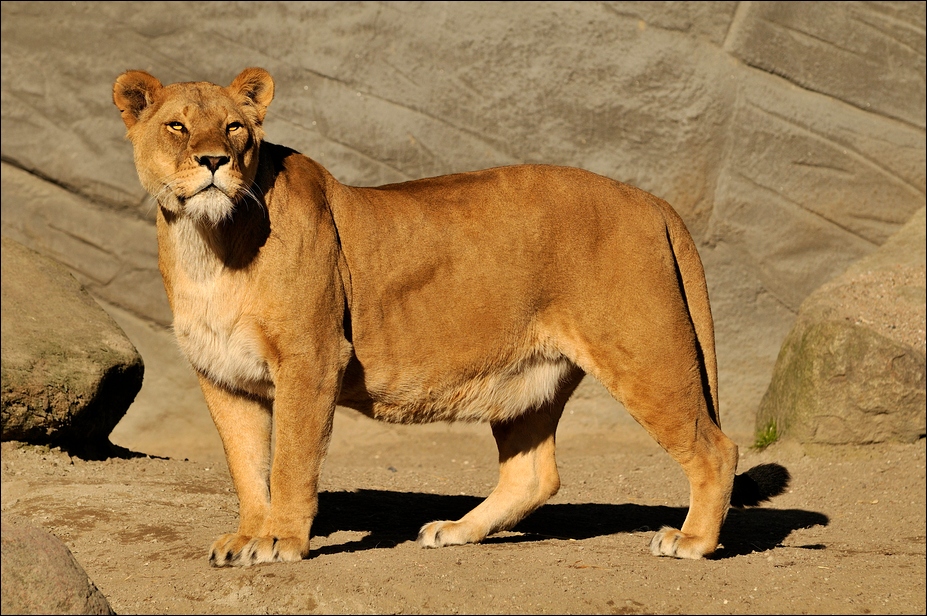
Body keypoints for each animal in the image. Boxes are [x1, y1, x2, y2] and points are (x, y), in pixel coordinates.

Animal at [113, 67, 789, 567]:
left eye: (234, 128)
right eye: (176, 126)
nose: (213, 162)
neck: (208, 247)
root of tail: (651, 200)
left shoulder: (312, 359)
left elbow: (291, 460)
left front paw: (280, 541)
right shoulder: (223, 376)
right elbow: (246, 465)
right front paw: (248, 537)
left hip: (643, 351)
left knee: (715, 449)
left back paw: (692, 542)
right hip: (531, 378)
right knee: (534, 476)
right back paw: (456, 530)